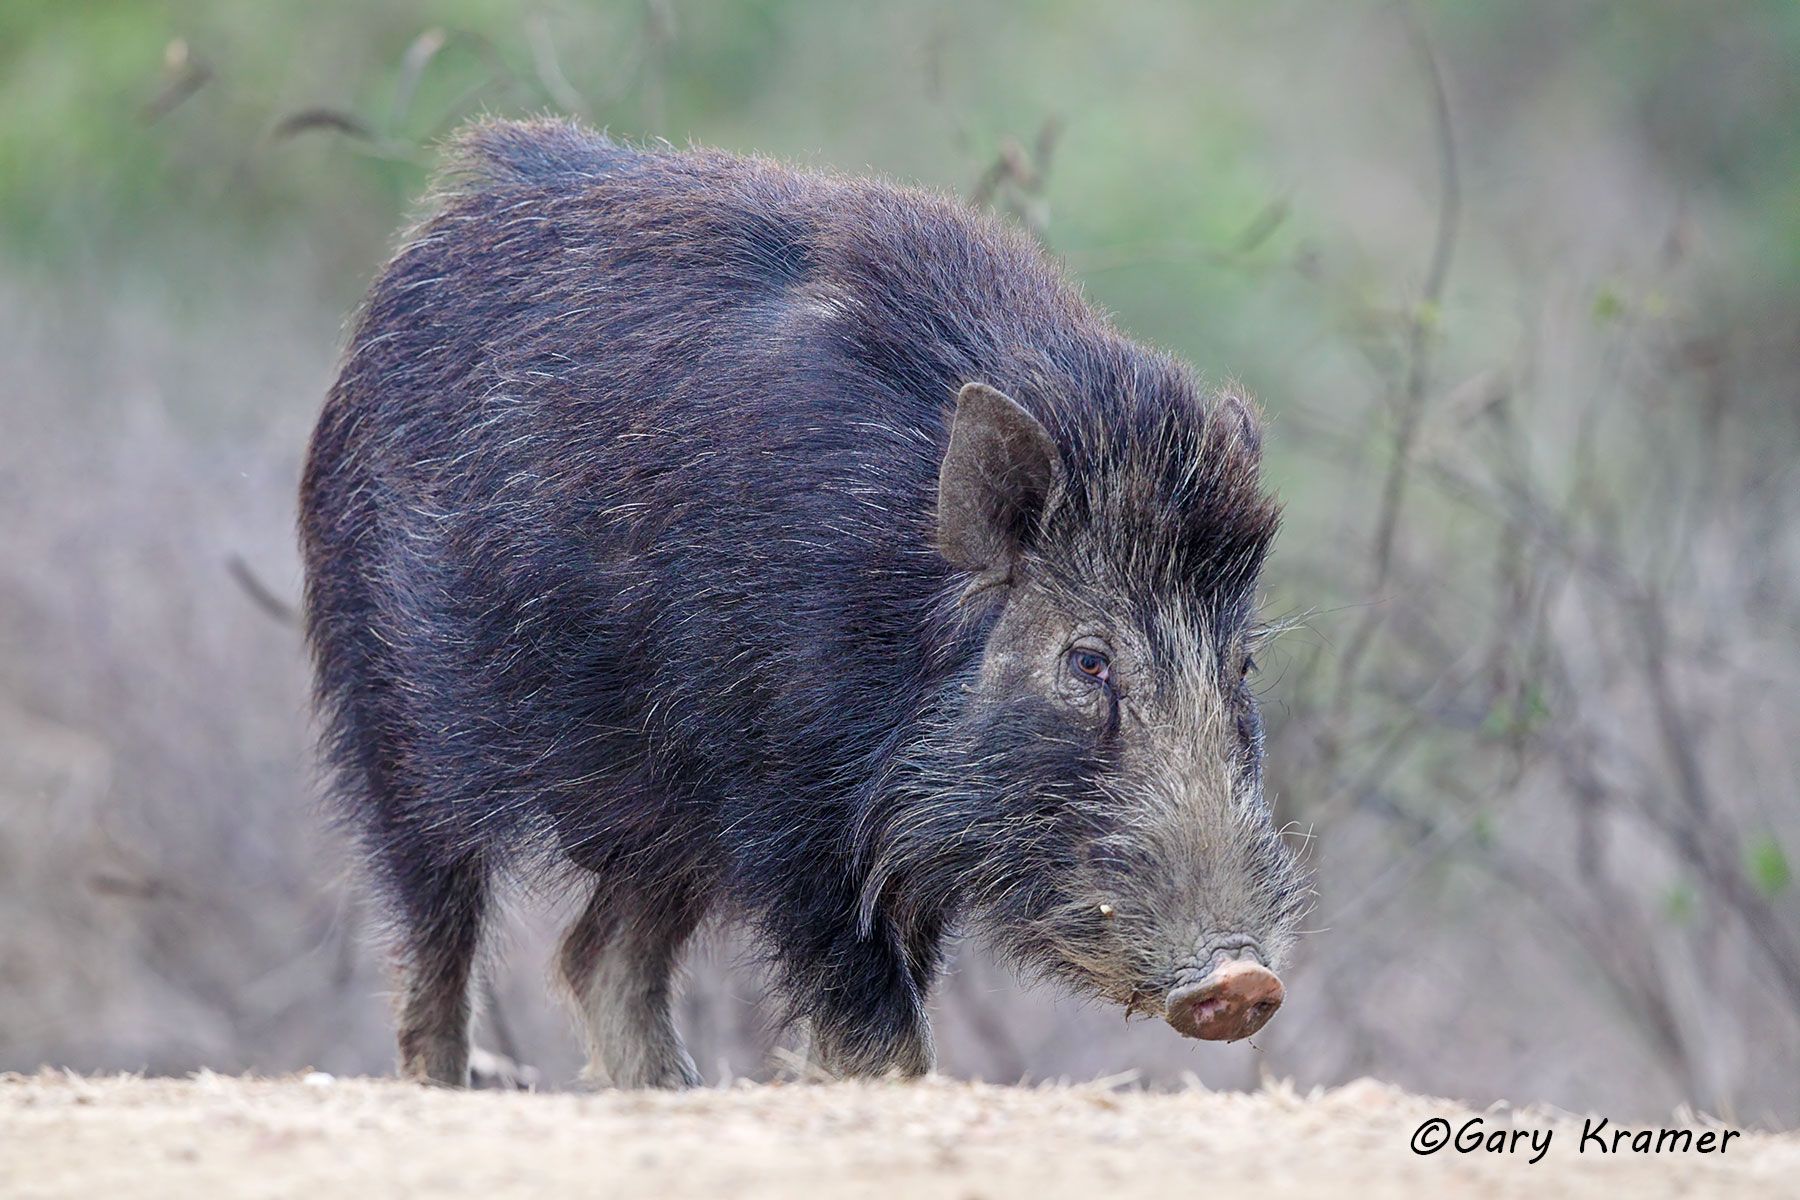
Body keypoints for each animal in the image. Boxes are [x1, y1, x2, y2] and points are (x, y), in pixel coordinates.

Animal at [299, 117, 1310, 1088]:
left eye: (1244, 664)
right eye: (1087, 659)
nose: (1246, 981)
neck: (897, 619)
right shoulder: (789, 819)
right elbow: (878, 1032)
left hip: (658, 822)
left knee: (598, 960)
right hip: (397, 725)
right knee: (436, 948)